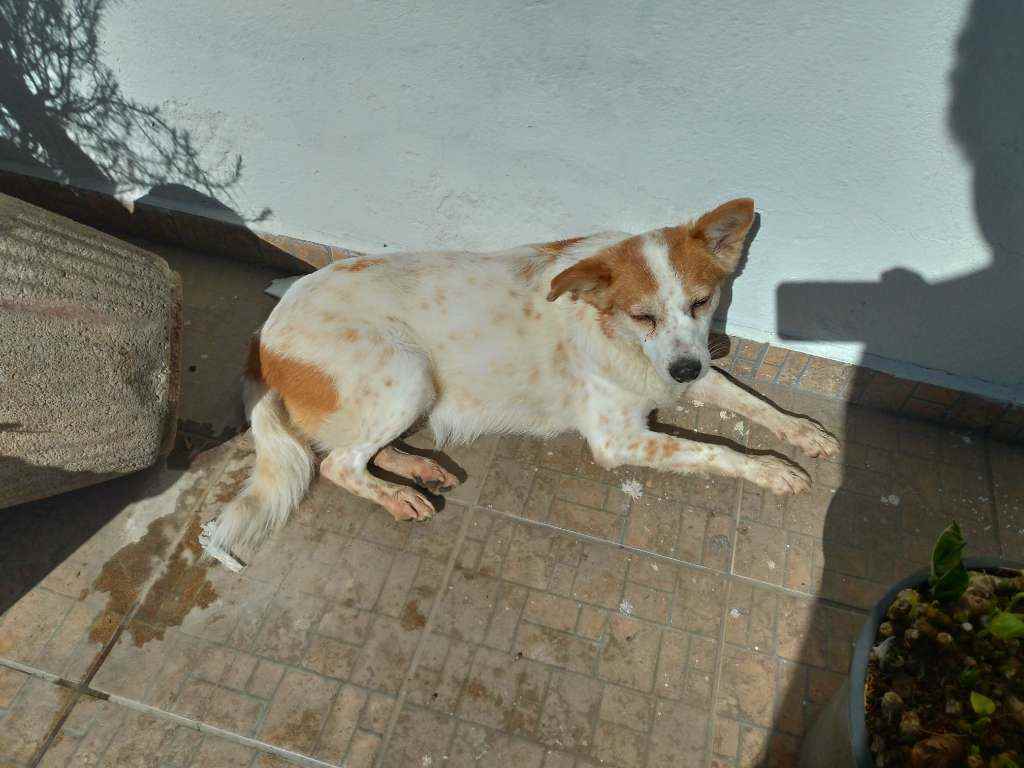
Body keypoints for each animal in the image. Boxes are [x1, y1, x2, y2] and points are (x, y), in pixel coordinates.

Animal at [202, 198, 838, 561]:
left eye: (701, 302)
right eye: (643, 315)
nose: (684, 370)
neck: (613, 333)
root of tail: (261, 340)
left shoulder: (686, 366)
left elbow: (750, 399)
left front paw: (804, 432)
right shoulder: (618, 439)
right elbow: (715, 452)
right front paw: (772, 470)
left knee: (357, 450)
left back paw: (416, 466)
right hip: (407, 373)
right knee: (337, 464)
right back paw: (398, 494)